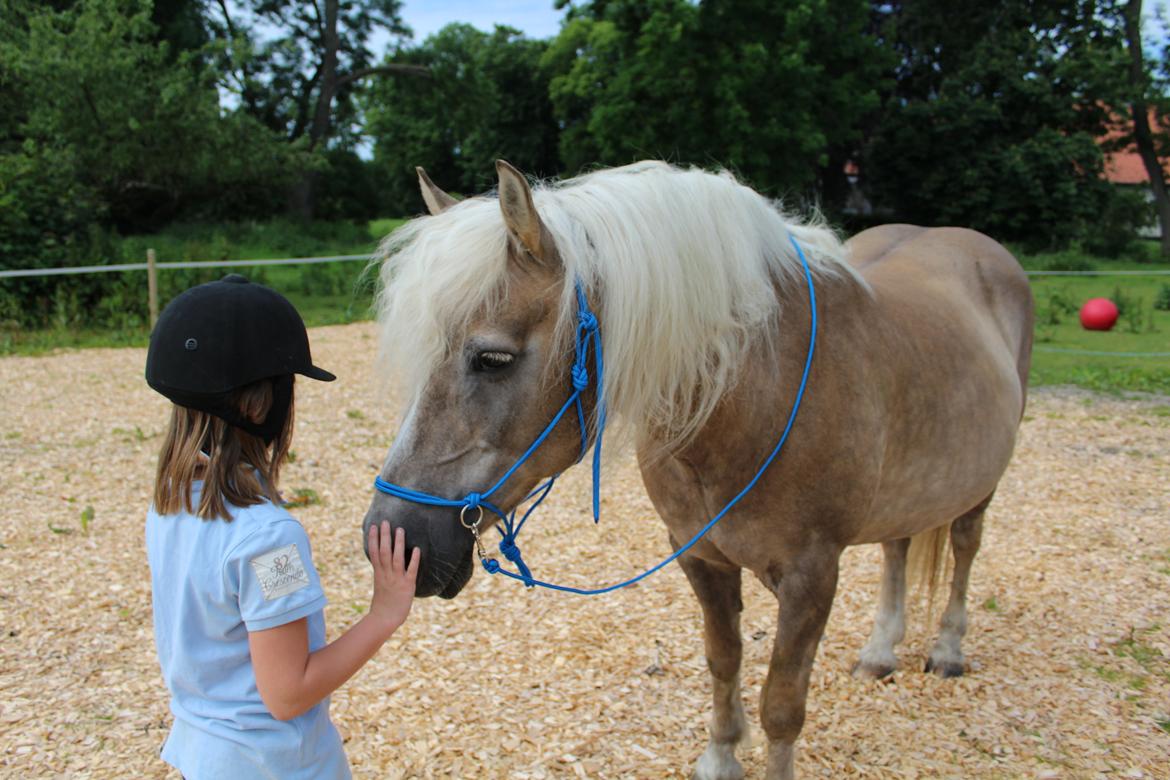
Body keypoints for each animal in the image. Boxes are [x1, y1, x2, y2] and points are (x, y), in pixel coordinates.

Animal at [362, 160, 1034, 780]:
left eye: (493, 358)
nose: (388, 539)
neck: (754, 396)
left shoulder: (812, 577)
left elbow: (782, 705)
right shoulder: (700, 556)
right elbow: (723, 660)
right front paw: (720, 758)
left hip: (981, 486)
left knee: (965, 548)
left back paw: (947, 649)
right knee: (898, 548)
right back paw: (880, 651)